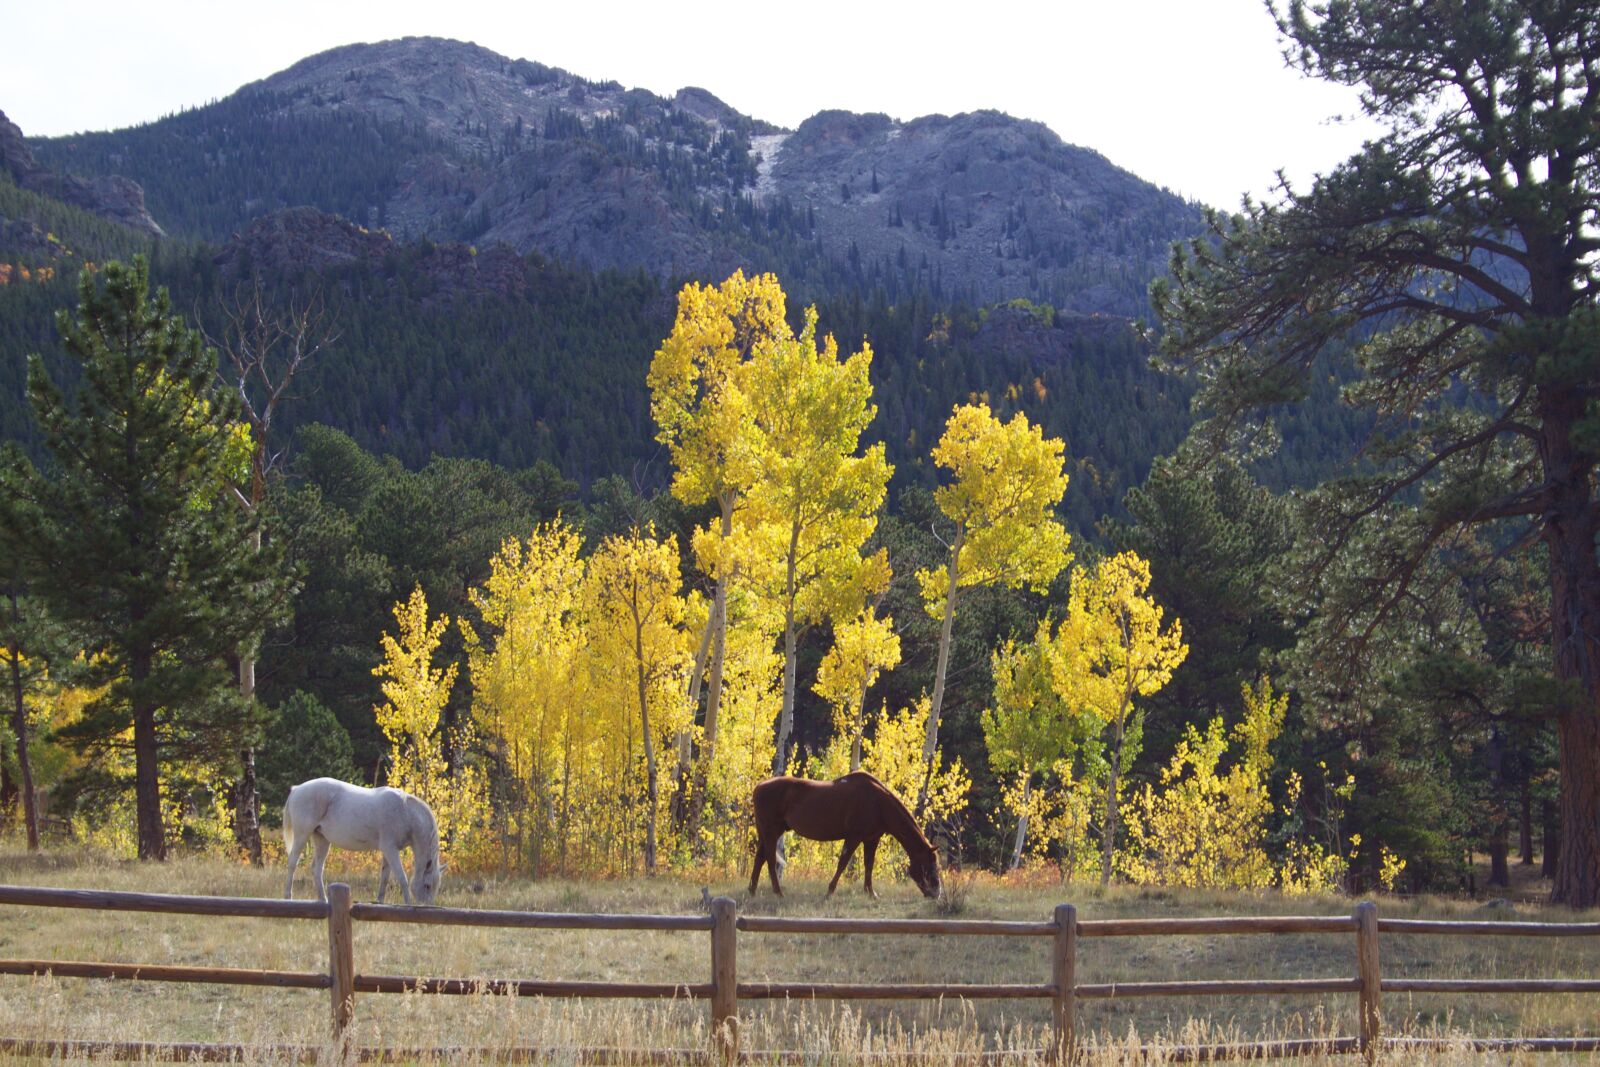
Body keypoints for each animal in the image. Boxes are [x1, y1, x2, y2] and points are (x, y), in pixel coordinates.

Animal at [282, 778, 441, 905]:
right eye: (427, 885)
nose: (427, 906)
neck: (407, 812)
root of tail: (297, 789)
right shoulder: (390, 849)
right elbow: (402, 878)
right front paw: (408, 904)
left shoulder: (388, 852)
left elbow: (385, 877)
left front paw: (379, 901)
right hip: (302, 835)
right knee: (292, 863)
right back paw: (288, 897)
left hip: (322, 840)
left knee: (316, 869)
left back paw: (324, 899)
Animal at [748, 771, 941, 899]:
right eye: (930, 866)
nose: (936, 894)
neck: (878, 803)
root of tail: (758, 787)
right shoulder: (854, 837)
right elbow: (842, 863)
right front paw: (829, 892)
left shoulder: (871, 839)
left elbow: (869, 865)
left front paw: (871, 893)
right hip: (771, 831)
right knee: (769, 859)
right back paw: (778, 892)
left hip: (771, 832)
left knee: (760, 858)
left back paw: (752, 890)